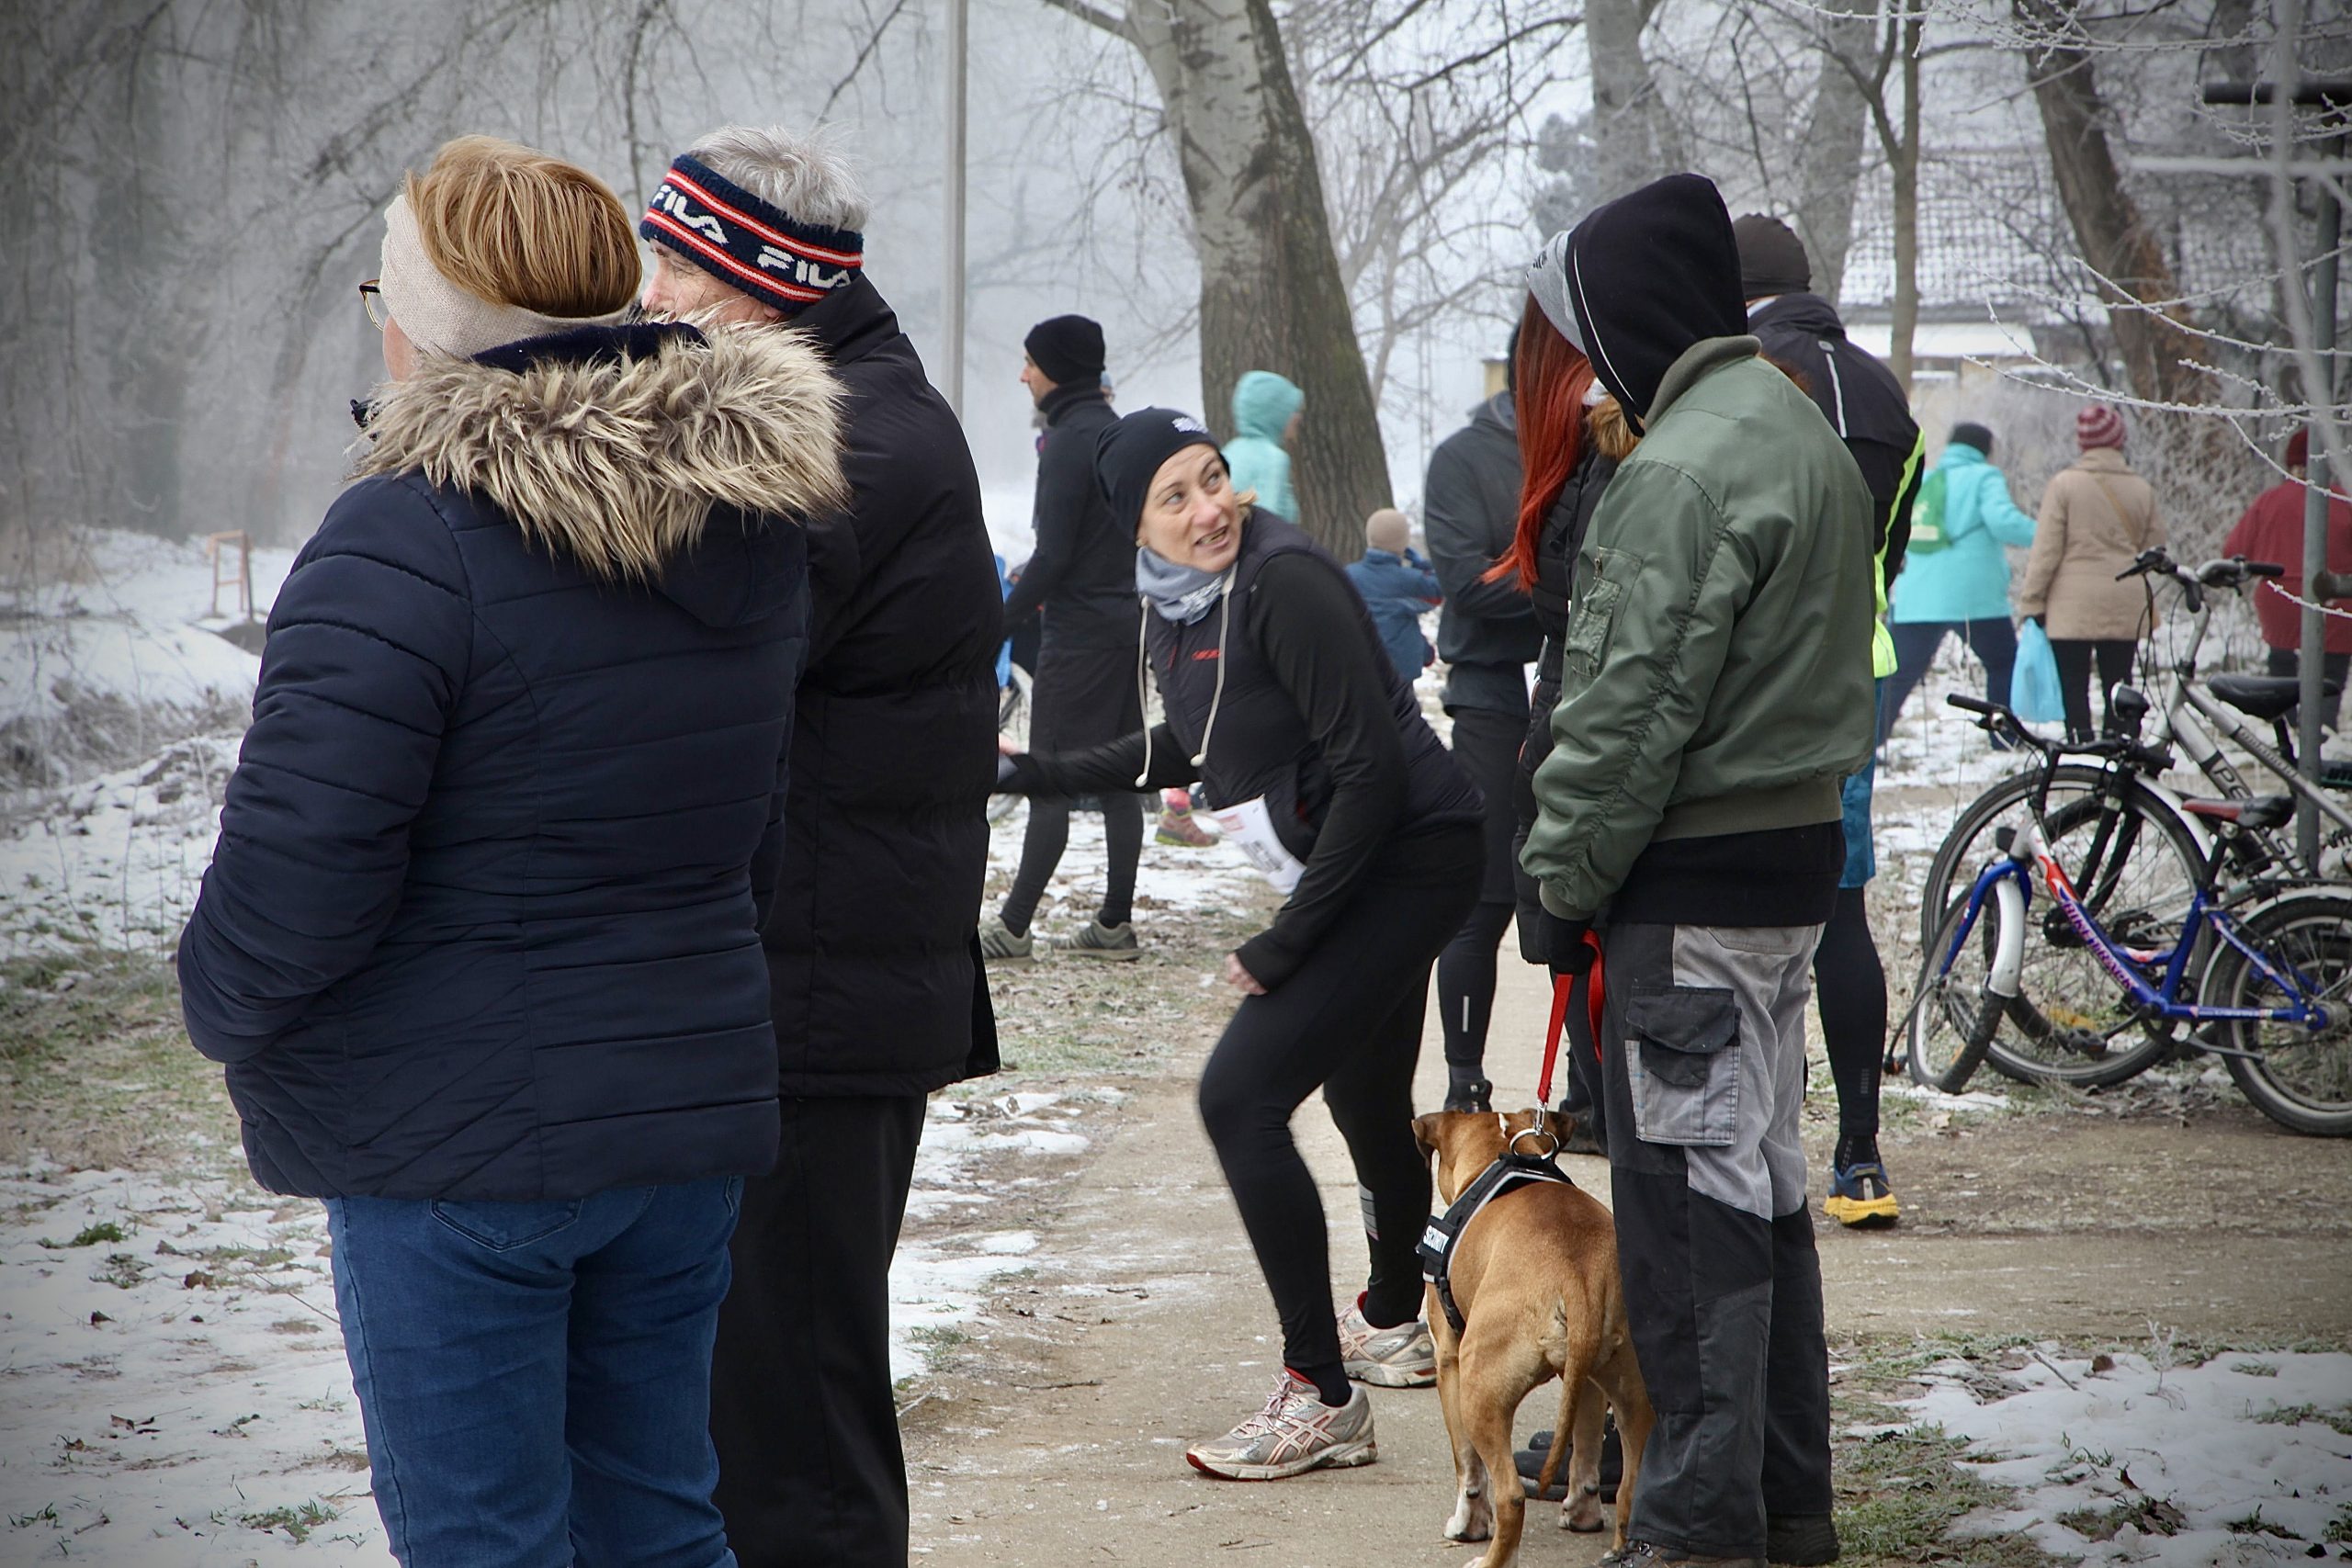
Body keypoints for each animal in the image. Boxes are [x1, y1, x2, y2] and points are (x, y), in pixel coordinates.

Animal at [1411, 1109, 1656, 1561]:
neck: (1501, 1156)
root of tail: (1578, 1274)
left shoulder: (1449, 1362)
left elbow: (1467, 1466)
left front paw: (1467, 1525)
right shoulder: (1586, 1382)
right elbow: (1586, 1449)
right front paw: (1581, 1511)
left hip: (1480, 1390)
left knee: (1509, 1496)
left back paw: (1488, 1559)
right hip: (1632, 1390)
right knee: (1631, 1488)